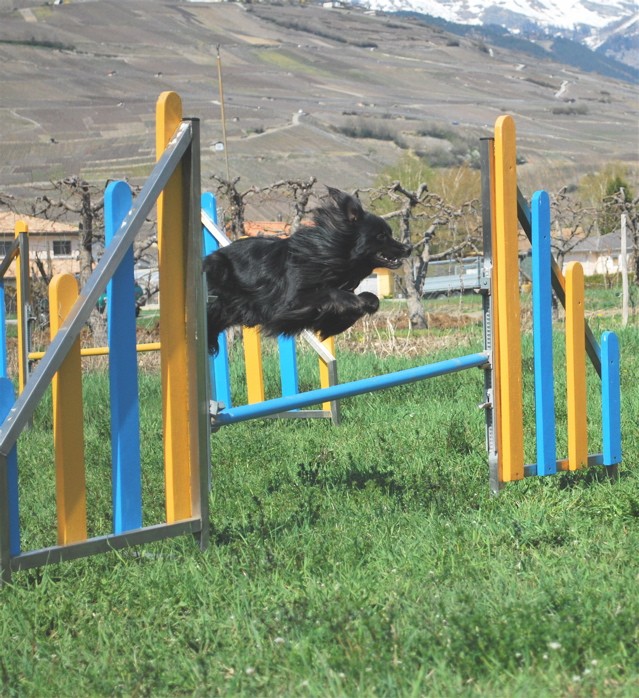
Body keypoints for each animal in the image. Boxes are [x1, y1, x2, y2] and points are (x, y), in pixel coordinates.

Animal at [205, 186, 416, 354]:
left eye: (389, 233)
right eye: (381, 236)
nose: (409, 248)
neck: (329, 255)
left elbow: (368, 299)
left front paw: (365, 303)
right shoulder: (289, 304)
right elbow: (330, 292)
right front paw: (354, 301)